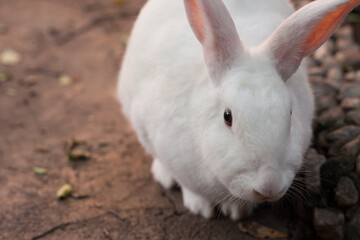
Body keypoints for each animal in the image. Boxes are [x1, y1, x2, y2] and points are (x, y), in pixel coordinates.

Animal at [117, 0, 358, 219]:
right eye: (227, 117)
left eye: (290, 113)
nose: (268, 187)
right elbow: (190, 187)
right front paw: (200, 207)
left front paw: (237, 211)